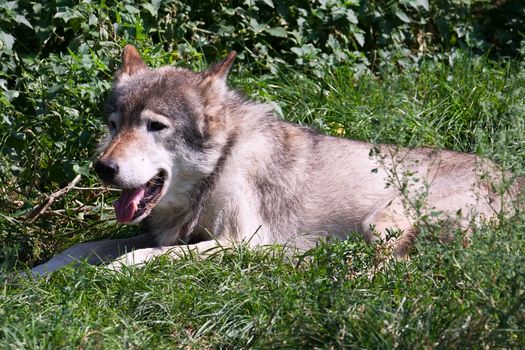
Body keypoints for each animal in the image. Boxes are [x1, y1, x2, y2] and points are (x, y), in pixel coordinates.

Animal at [30, 45, 520, 276]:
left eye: (155, 126)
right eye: (115, 125)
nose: (103, 168)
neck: (217, 170)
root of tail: (514, 177)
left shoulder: (242, 243)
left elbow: (141, 257)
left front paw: (110, 274)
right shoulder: (162, 233)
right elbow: (79, 249)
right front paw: (31, 275)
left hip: (380, 222)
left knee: (398, 270)